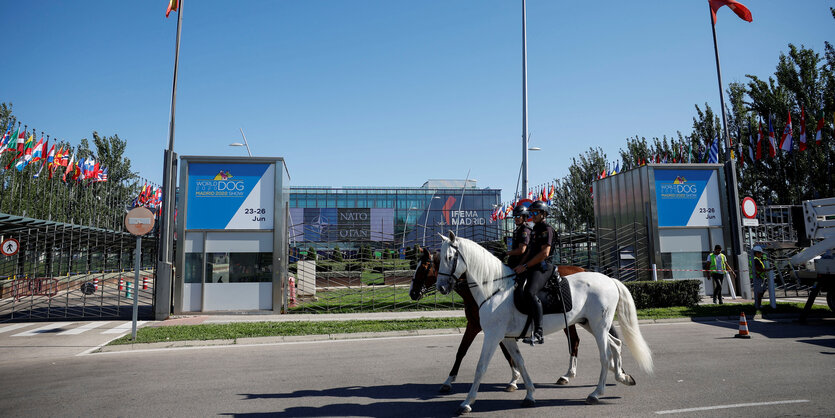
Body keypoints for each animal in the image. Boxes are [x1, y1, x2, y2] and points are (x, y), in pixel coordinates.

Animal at [410, 248, 580, 392]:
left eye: (424, 267)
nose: (412, 293)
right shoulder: (475, 325)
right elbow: (462, 351)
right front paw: (448, 381)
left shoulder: (492, 329)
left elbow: (505, 353)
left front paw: (514, 379)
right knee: (575, 340)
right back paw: (568, 374)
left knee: (574, 341)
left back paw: (568, 375)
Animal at [438, 232, 652, 414]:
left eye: (449, 257)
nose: (441, 287)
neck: (495, 288)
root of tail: (609, 279)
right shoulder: (506, 338)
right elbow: (519, 362)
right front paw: (530, 395)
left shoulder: (492, 335)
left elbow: (481, 367)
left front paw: (467, 403)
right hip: (590, 323)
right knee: (616, 344)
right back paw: (622, 376)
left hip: (598, 326)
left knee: (605, 355)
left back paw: (596, 393)